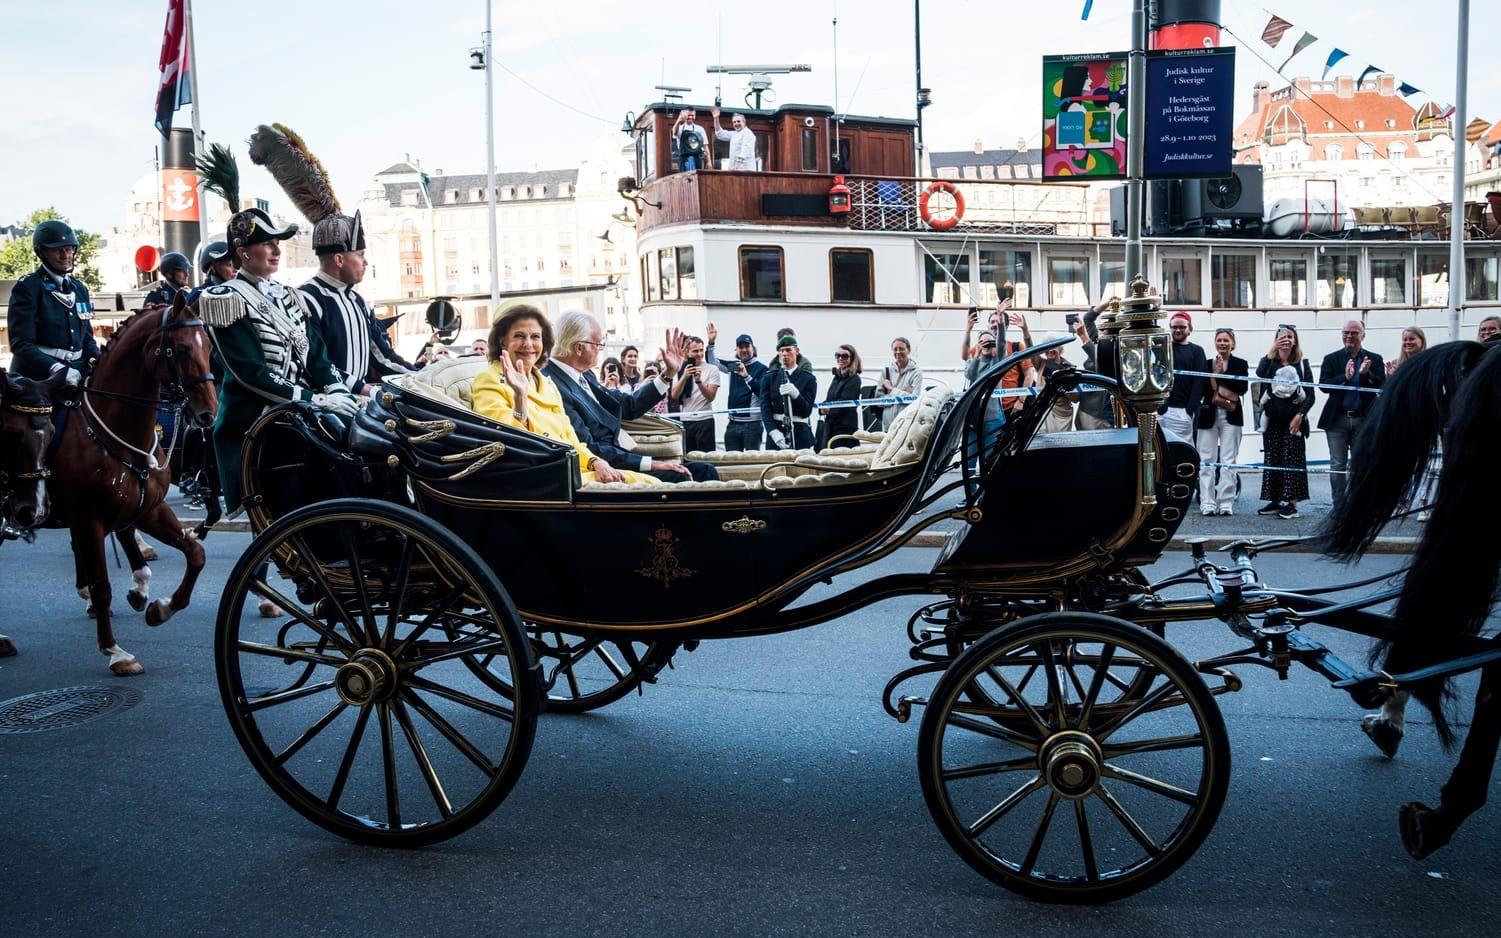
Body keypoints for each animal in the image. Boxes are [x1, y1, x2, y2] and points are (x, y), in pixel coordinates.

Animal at [48, 295, 219, 669]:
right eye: (181, 349)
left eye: (210, 346)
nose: (208, 413)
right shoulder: (89, 518)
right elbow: (102, 586)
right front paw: (114, 651)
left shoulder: (150, 508)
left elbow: (196, 554)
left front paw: (161, 609)